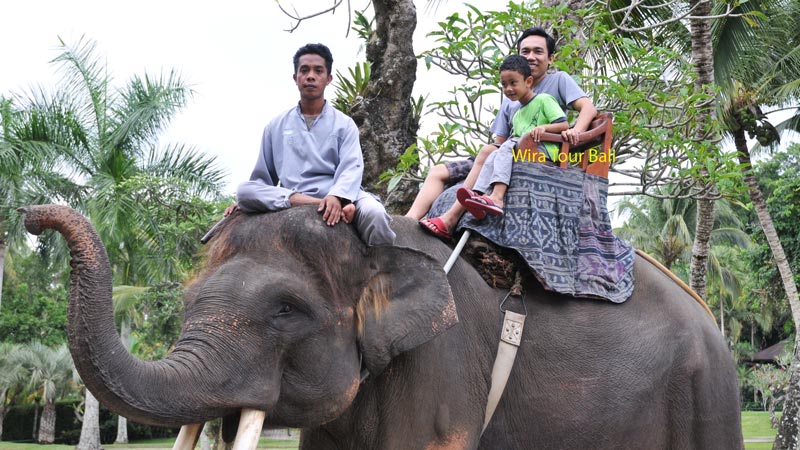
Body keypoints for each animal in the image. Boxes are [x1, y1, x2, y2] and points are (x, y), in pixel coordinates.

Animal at [18, 205, 744, 450]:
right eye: (191, 299)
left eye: (286, 310)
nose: (31, 215)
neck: (375, 243)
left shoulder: (440, 368)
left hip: (706, 399)